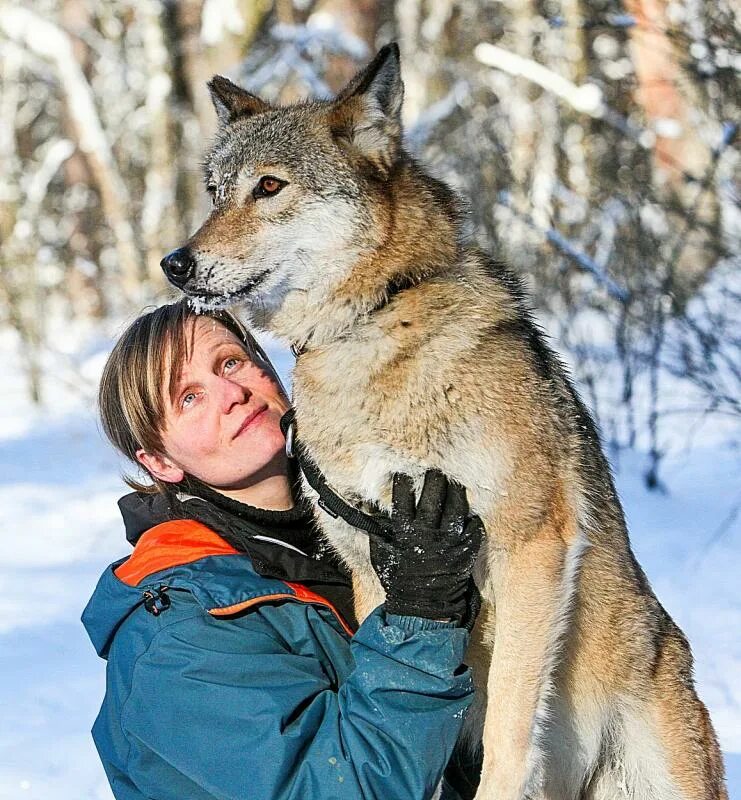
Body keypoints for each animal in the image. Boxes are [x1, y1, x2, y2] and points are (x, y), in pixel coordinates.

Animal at [160, 45, 724, 800]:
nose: (175, 263)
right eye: (216, 191)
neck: (370, 331)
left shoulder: (529, 545)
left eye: (269, 187)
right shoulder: (373, 561)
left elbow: (509, 724)